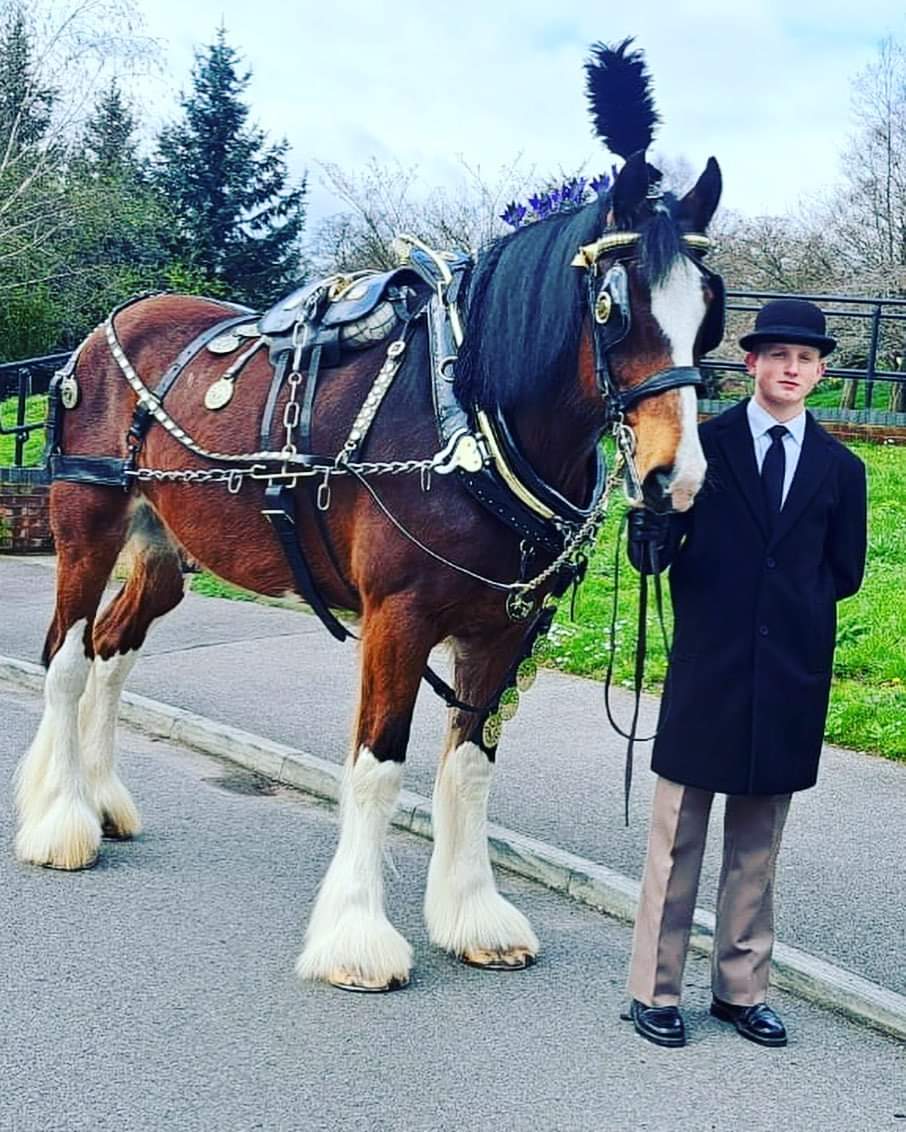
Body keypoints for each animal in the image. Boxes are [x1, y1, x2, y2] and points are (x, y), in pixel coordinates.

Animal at [14, 41, 723, 992]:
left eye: (710, 314)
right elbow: (379, 768)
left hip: (165, 552)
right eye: (612, 307)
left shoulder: (505, 630)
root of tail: (108, 328)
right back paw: (61, 823)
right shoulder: (398, 618)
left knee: (110, 652)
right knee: (63, 658)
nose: (675, 479)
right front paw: (356, 935)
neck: (467, 412)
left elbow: (469, 768)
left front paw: (472, 915)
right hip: (85, 525)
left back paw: (101, 801)